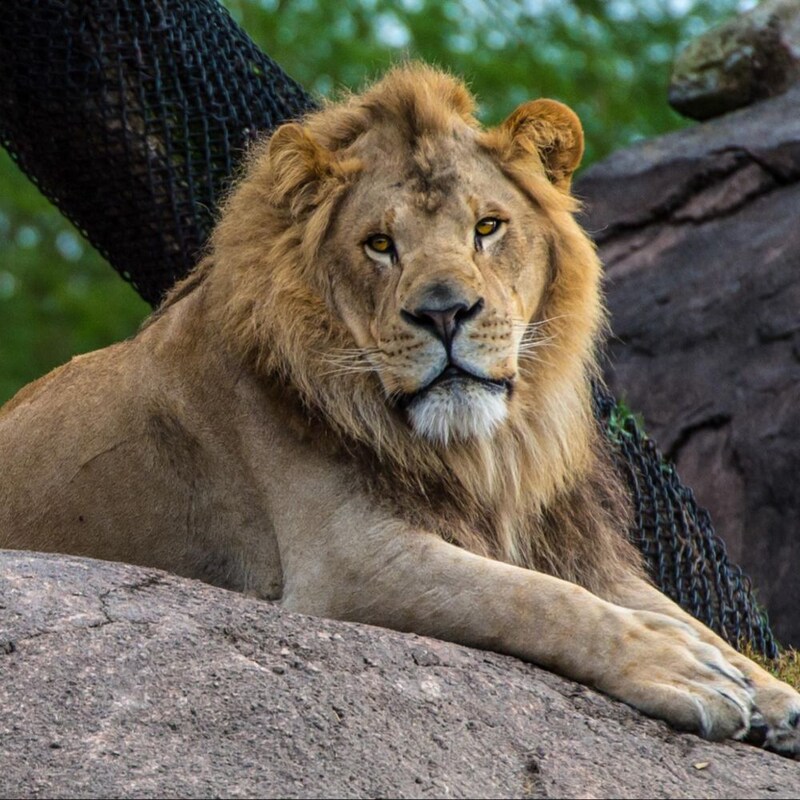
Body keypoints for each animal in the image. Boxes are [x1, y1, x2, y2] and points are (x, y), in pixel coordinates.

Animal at [1, 64, 798, 754]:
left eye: (487, 227)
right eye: (380, 245)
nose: (444, 312)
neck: (484, 450)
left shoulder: (564, 544)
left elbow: (681, 616)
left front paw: (769, 692)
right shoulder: (348, 559)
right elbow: (539, 601)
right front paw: (681, 670)